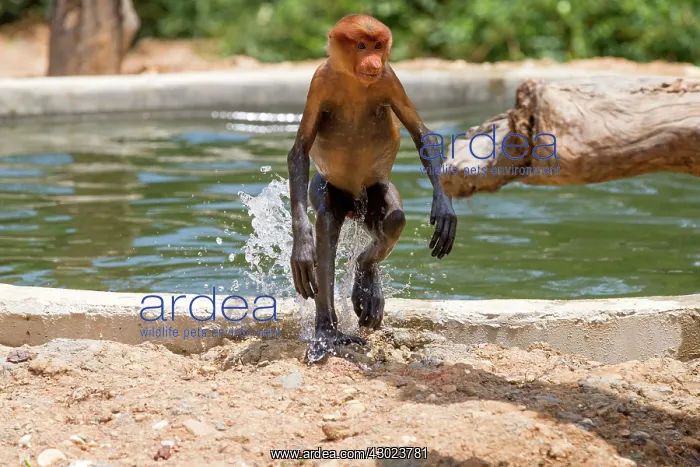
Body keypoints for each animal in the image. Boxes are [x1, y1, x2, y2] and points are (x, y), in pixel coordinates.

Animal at [287, 14, 457, 362]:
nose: (373, 61)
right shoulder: (320, 81)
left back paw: (365, 275)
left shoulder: (388, 78)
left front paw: (445, 208)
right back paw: (327, 333)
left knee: (394, 219)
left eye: (379, 45)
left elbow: (423, 135)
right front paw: (302, 247)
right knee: (327, 224)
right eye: (361, 46)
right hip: (326, 189)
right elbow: (299, 153)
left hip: (377, 189)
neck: (355, 81)